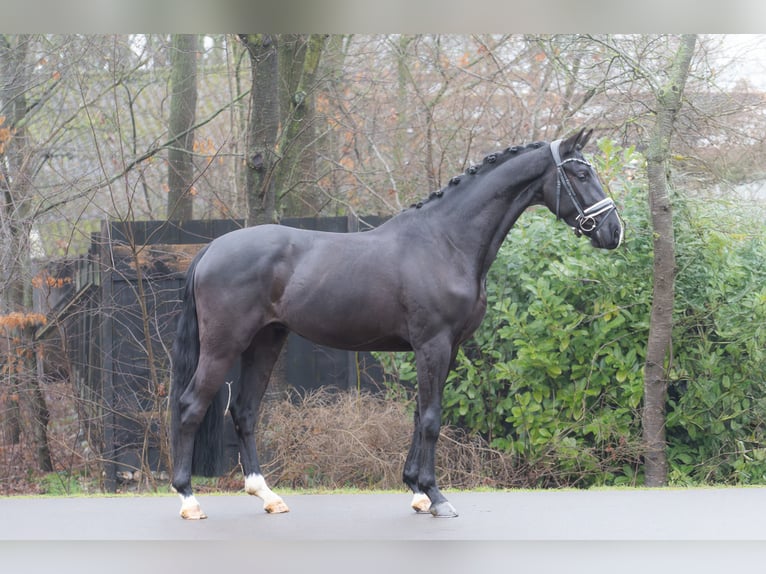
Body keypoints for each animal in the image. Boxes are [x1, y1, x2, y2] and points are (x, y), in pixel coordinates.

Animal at [170, 128, 624, 519]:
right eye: (581, 173)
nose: (614, 231)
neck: (446, 242)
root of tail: (211, 249)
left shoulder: (446, 348)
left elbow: (421, 414)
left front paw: (417, 491)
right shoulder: (433, 345)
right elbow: (432, 418)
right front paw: (436, 496)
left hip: (266, 342)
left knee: (245, 411)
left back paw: (267, 495)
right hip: (224, 345)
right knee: (191, 406)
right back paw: (189, 499)